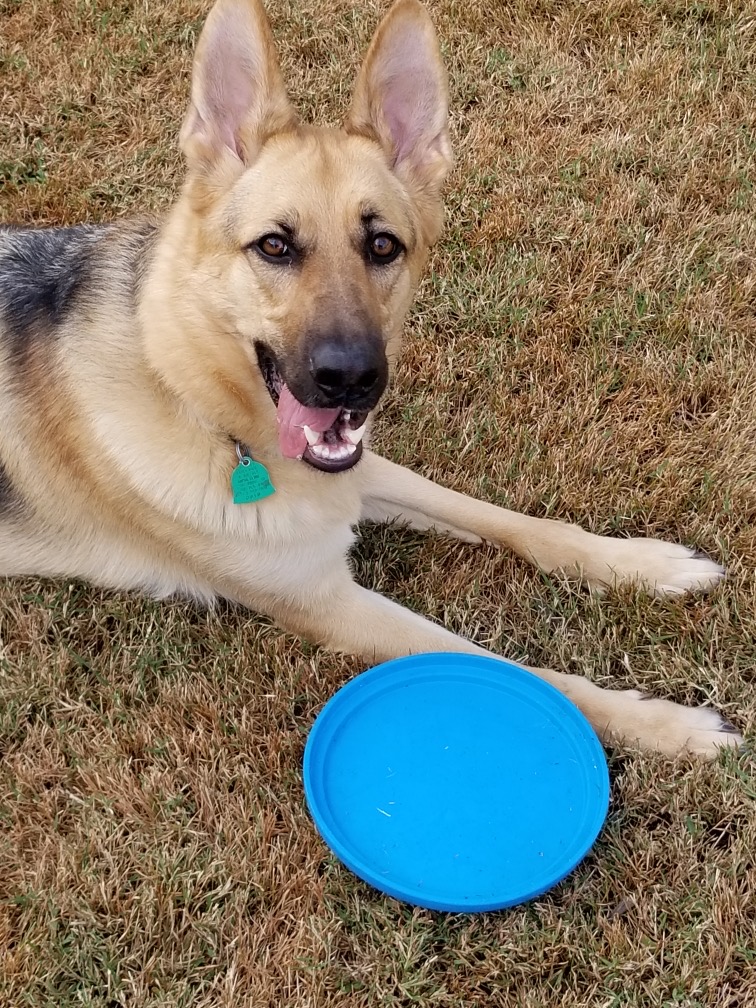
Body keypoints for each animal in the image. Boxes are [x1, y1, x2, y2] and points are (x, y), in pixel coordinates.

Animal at [0, 0, 741, 758]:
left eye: (383, 246)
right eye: (275, 246)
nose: (350, 380)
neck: (188, 393)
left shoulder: (357, 471)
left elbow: (507, 519)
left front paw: (645, 565)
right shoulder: (327, 599)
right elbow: (513, 667)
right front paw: (667, 724)